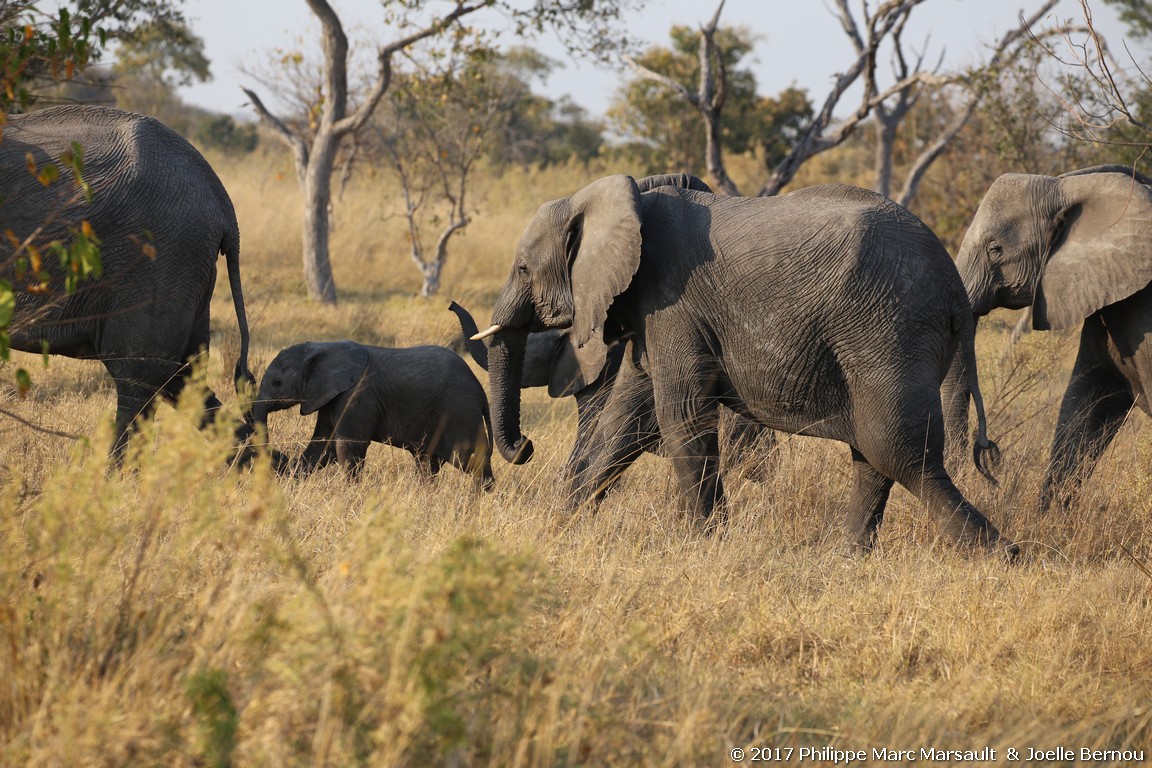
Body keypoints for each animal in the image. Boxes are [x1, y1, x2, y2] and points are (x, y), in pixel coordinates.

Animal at [254, 340, 493, 490]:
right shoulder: (330, 396)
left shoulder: (357, 395)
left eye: (277, 383)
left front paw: (350, 494)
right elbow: (323, 447)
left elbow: (348, 446)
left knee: (471, 460)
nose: (280, 456)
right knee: (428, 463)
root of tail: (481, 392)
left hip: (461, 413)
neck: (323, 347)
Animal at [472, 177, 1013, 554]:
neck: (623, 198)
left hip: (889, 328)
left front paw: (704, 544)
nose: (525, 447)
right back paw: (850, 558)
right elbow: (628, 416)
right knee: (875, 450)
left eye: (523, 268)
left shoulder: (673, 303)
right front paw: (563, 524)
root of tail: (956, 292)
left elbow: (680, 412)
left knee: (896, 448)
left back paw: (999, 556)